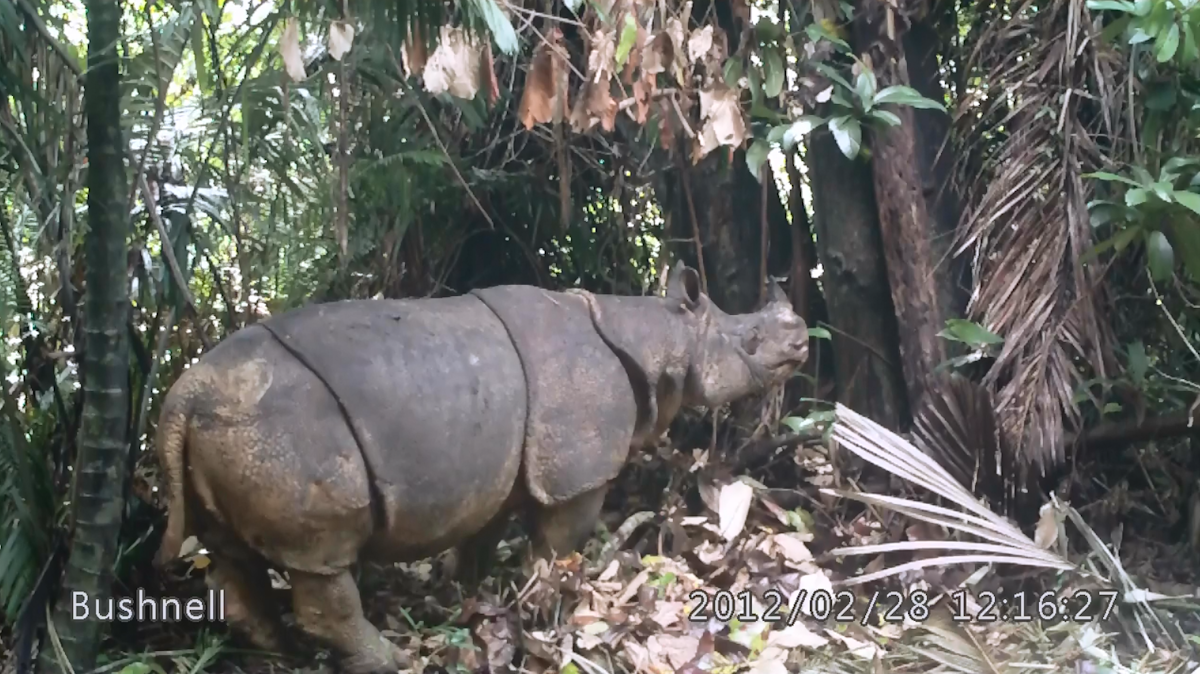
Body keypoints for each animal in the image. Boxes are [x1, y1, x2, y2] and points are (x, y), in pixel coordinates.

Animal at [153, 262, 809, 673]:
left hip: (229, 426)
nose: (803, 341)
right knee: (322, 559)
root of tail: (182, 397)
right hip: (279, 428)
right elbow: (557, 545)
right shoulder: (577, 474)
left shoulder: (499, 469)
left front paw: (470, 597)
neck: (663, 336)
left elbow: (481, 536)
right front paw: (544, 610)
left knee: (233, 555)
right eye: (749, 341)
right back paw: (386, 662)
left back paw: (275, 657)